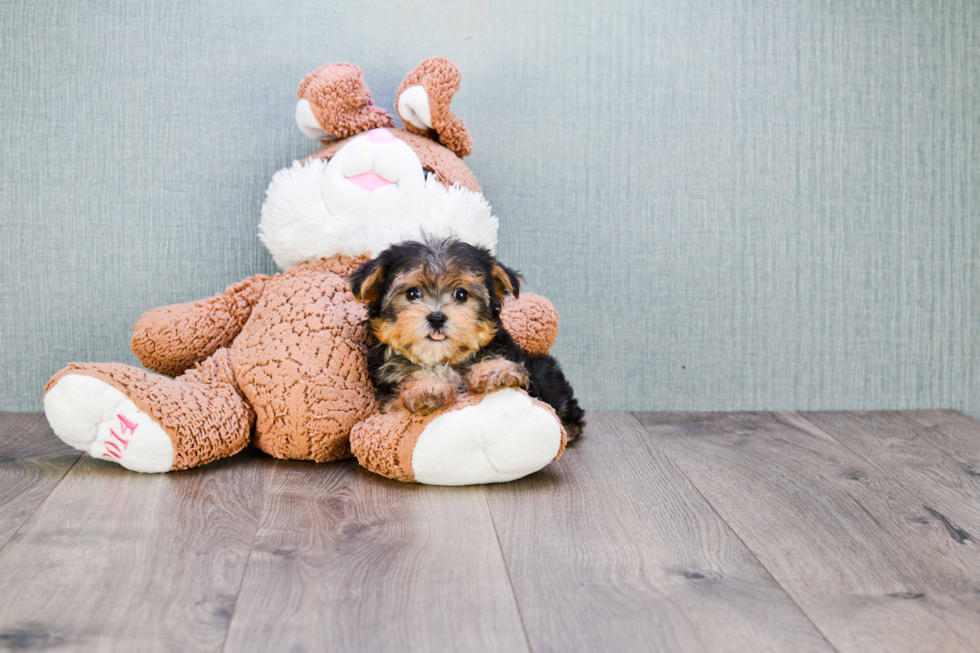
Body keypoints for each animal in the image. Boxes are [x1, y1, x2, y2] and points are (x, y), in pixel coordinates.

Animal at [350, 238, 584, 438]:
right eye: (412, 293)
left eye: (461, 294)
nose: (436, 317)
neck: (443, 358)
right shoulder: (387, 400)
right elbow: (400, 398)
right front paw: (427, 387)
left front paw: (495, 370)